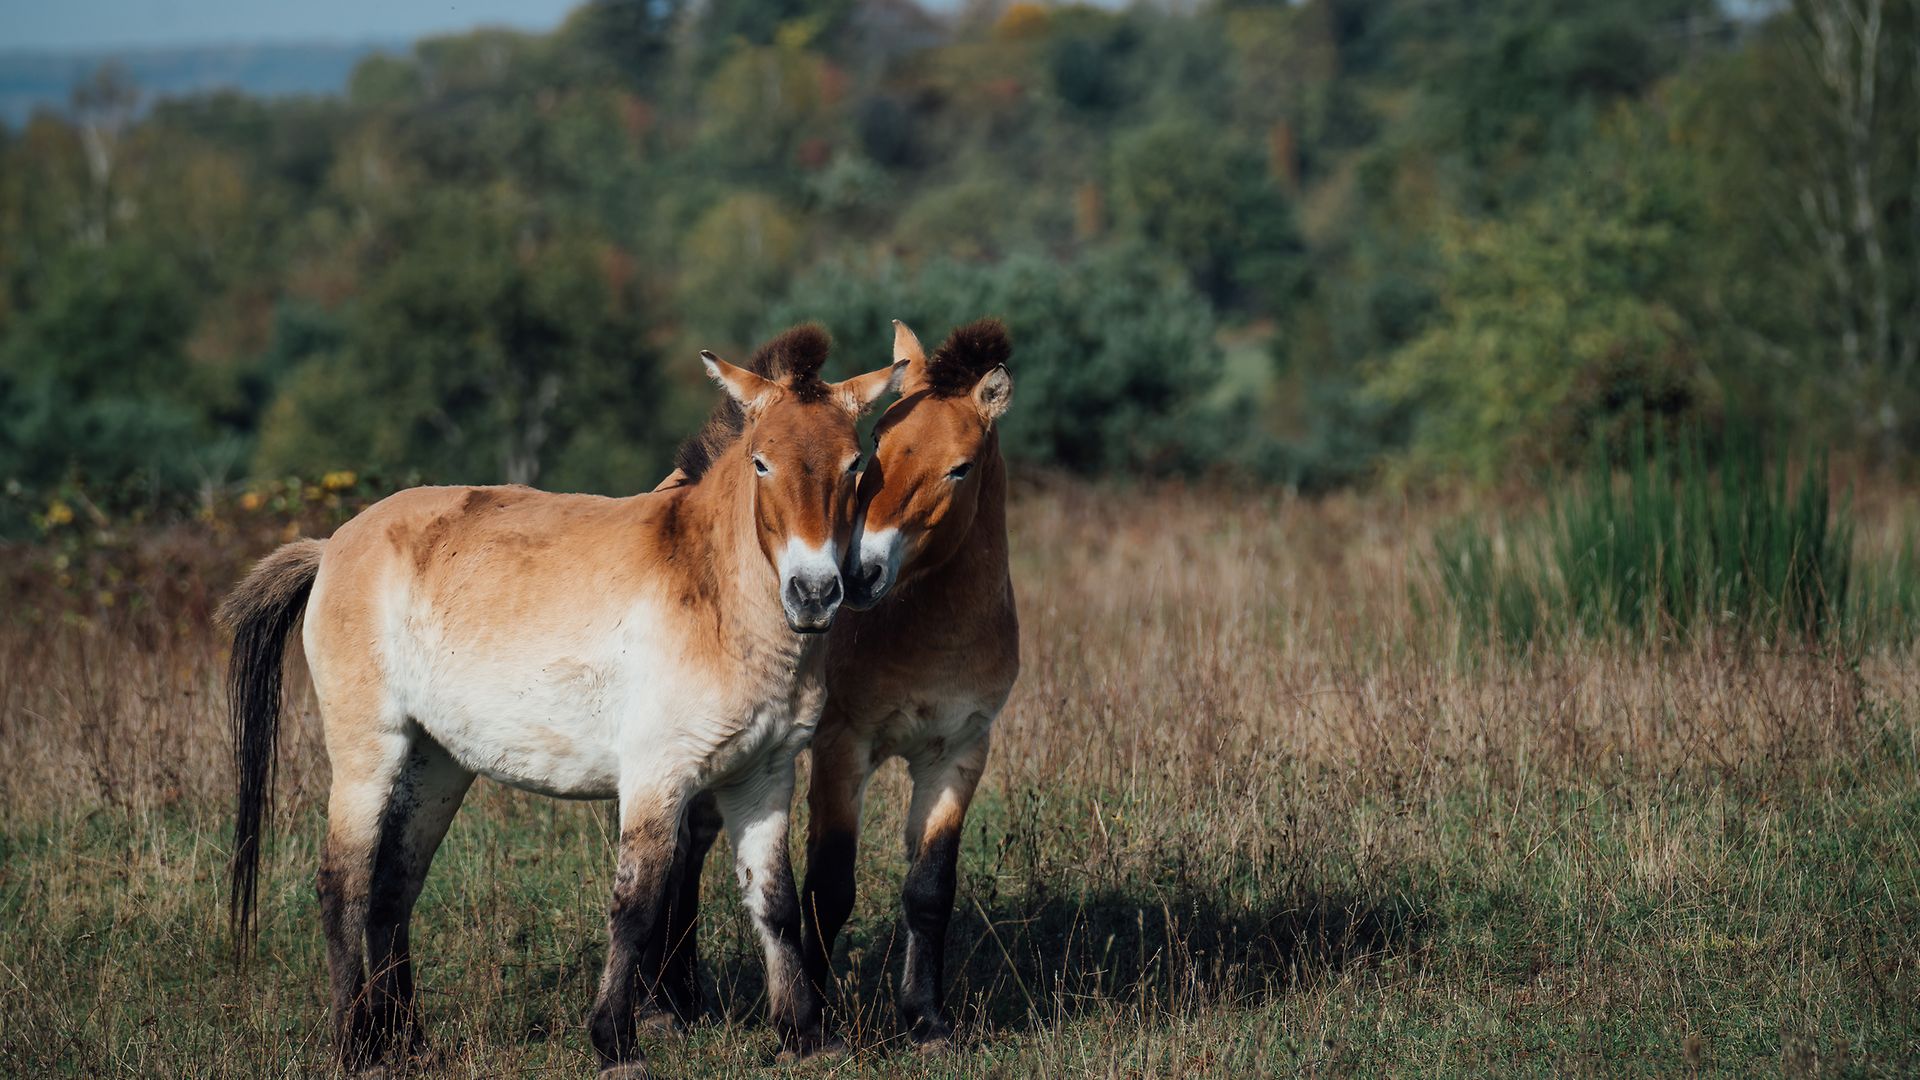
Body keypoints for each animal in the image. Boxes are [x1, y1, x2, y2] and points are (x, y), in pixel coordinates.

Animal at [218, 325, 906, 1077]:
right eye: (761, 463)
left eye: (854, 465)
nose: (814, 593)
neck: (716, 593)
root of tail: (332, 547)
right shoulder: (658, 777)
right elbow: (635, 906)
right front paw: (616, 1043)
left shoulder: (764, 775)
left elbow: (775, 902)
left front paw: (806, 1036)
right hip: (368, 752)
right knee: (342, 882)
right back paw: (357, 1046)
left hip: (436, 764)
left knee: (394, 885)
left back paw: (409, 1042)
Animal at [644, 318, 1018, 1050]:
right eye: (878, 448)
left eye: (960, 467)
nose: (859, 573)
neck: (926, 628)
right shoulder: (843, 747)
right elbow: (830, 885)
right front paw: (814, 1010)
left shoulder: (960, 755)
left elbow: (930, 888)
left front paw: (926, 1019)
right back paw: (665, 1003)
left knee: (690, 844)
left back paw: (682, 996)